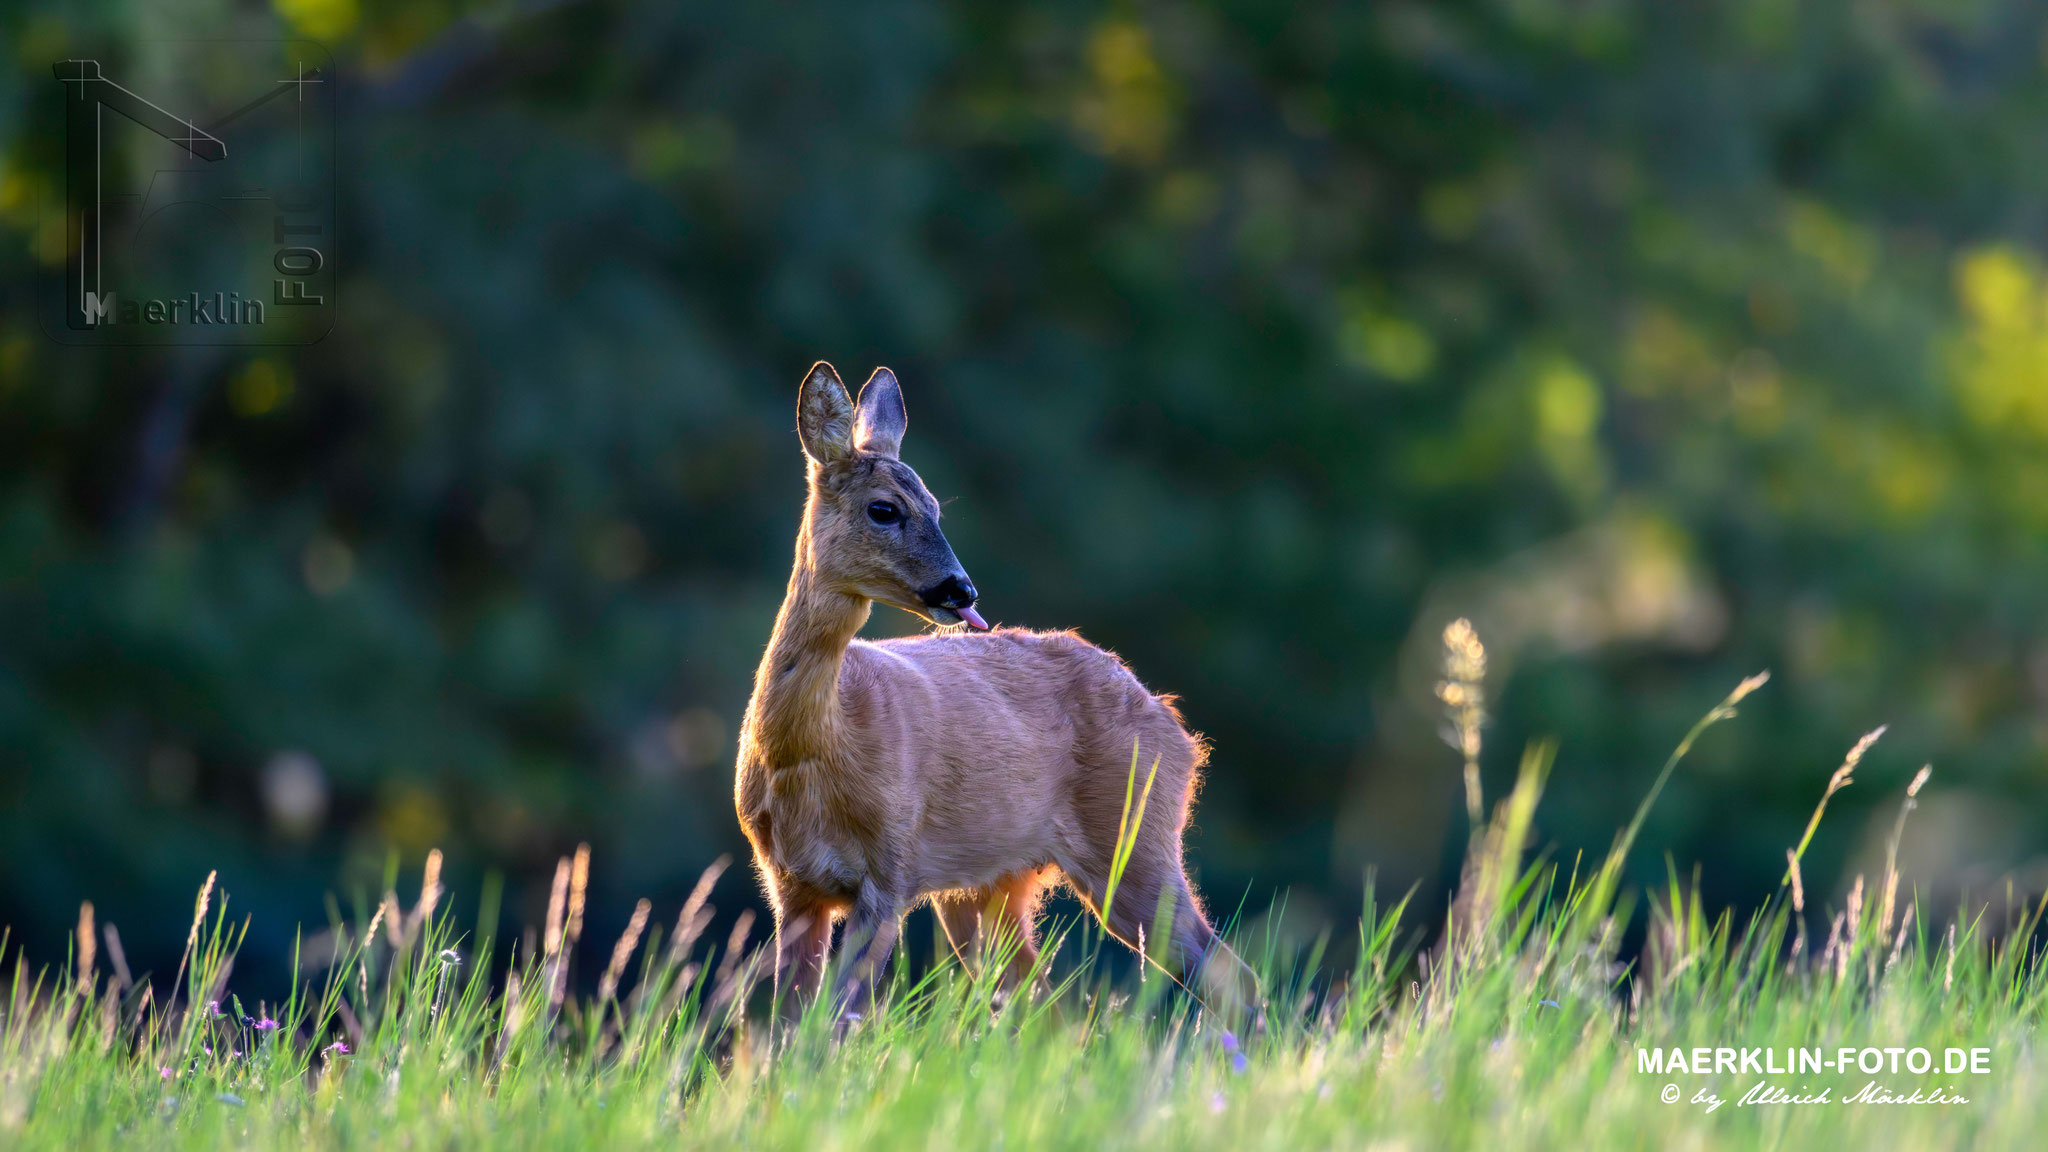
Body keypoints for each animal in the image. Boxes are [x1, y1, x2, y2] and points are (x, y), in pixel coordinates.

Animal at [734, 361, 1257, 1023]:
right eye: (884, 509)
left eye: (936, 506)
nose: (961, 589)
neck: (812, 751)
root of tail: (1180, 732)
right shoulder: (791, 885)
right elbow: (788, 1026)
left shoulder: (891, 870)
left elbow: (834, 1023)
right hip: (991, 884)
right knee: (1045, 1006)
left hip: (1134, 834)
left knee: (1229, 975)